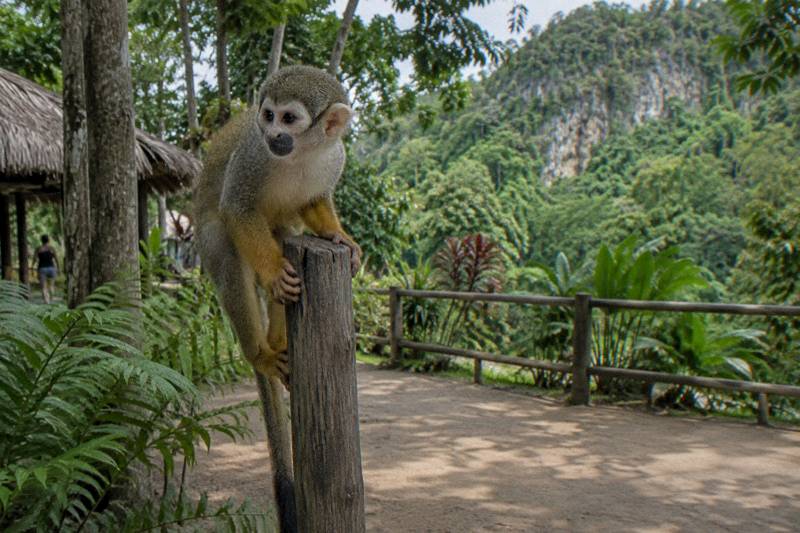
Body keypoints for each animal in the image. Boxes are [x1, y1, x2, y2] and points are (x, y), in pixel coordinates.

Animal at [192, 65, 361, 533]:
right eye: (267, 115)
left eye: (289, 119)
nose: (270, 133)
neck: (301, 154)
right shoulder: (253, 155)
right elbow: (238, 208)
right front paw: (272, 275)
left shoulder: (334, 158)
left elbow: (314, 201)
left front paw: (337, 236)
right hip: (208, 242)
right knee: (229, 253)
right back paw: (261, 354)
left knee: (287, 235)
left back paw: (278, 343)